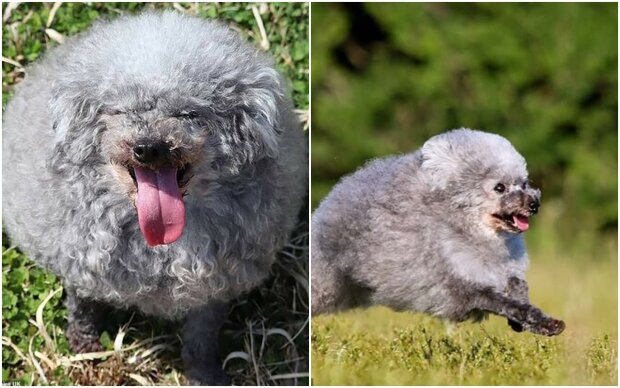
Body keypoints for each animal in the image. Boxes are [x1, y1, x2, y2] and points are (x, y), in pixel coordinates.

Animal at [3, 9, 308, 384]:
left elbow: (202, 335)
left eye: (189, 114)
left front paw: (204, 374)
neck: (161, 246)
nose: (148, 147)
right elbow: (83, 304)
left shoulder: (215, 285)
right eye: (119, 111)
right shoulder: (84, 262)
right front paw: (84, 347)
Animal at [312, 130, 564, 336]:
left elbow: (519, 286)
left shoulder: (503, 270)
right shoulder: (460, 288)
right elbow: (505, 303)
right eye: (499, 187)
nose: (534, 204)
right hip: (327, 283)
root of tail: (328, 203)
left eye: (524, 184)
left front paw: (525, 322)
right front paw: (542, 323)